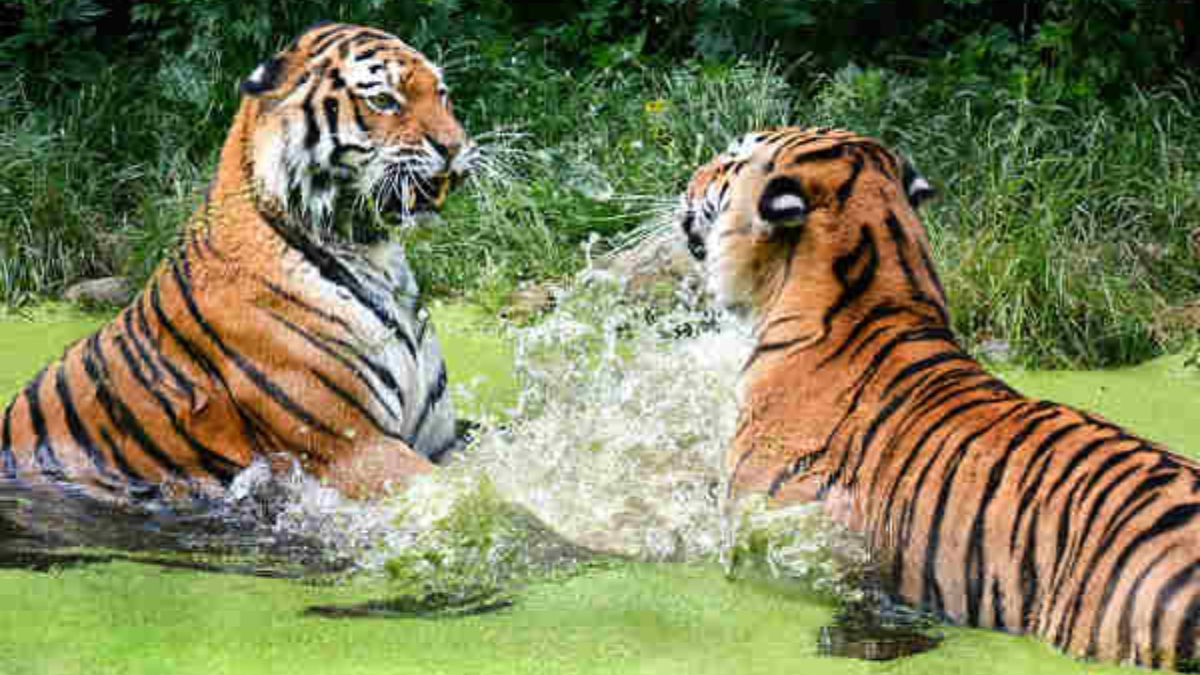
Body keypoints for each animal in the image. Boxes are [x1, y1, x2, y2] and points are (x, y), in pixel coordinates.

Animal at [0, 22, 473, 509]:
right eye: (383, 100)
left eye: (442, 95)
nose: (456, 147)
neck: (374, 255)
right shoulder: (355, 448)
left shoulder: (438, 441)